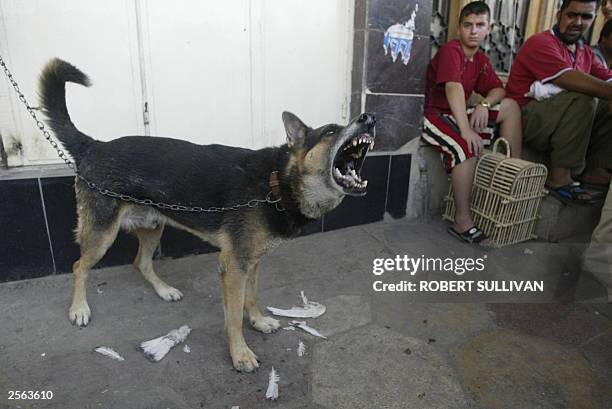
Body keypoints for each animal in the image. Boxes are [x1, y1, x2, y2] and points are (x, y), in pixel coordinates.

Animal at [38, 59, 376, 372]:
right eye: (330, 131)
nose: (369, 118)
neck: (276, 182)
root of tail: (94, 146)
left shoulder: (252, 262)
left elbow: (251, 298)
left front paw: (259, 321)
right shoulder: (234, 265)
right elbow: (233, 317)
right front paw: (240, 354)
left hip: (153, 226)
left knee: (140, 262)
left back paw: (164, 290)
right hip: (102, 234)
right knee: (79, 266)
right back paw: (79, 309)